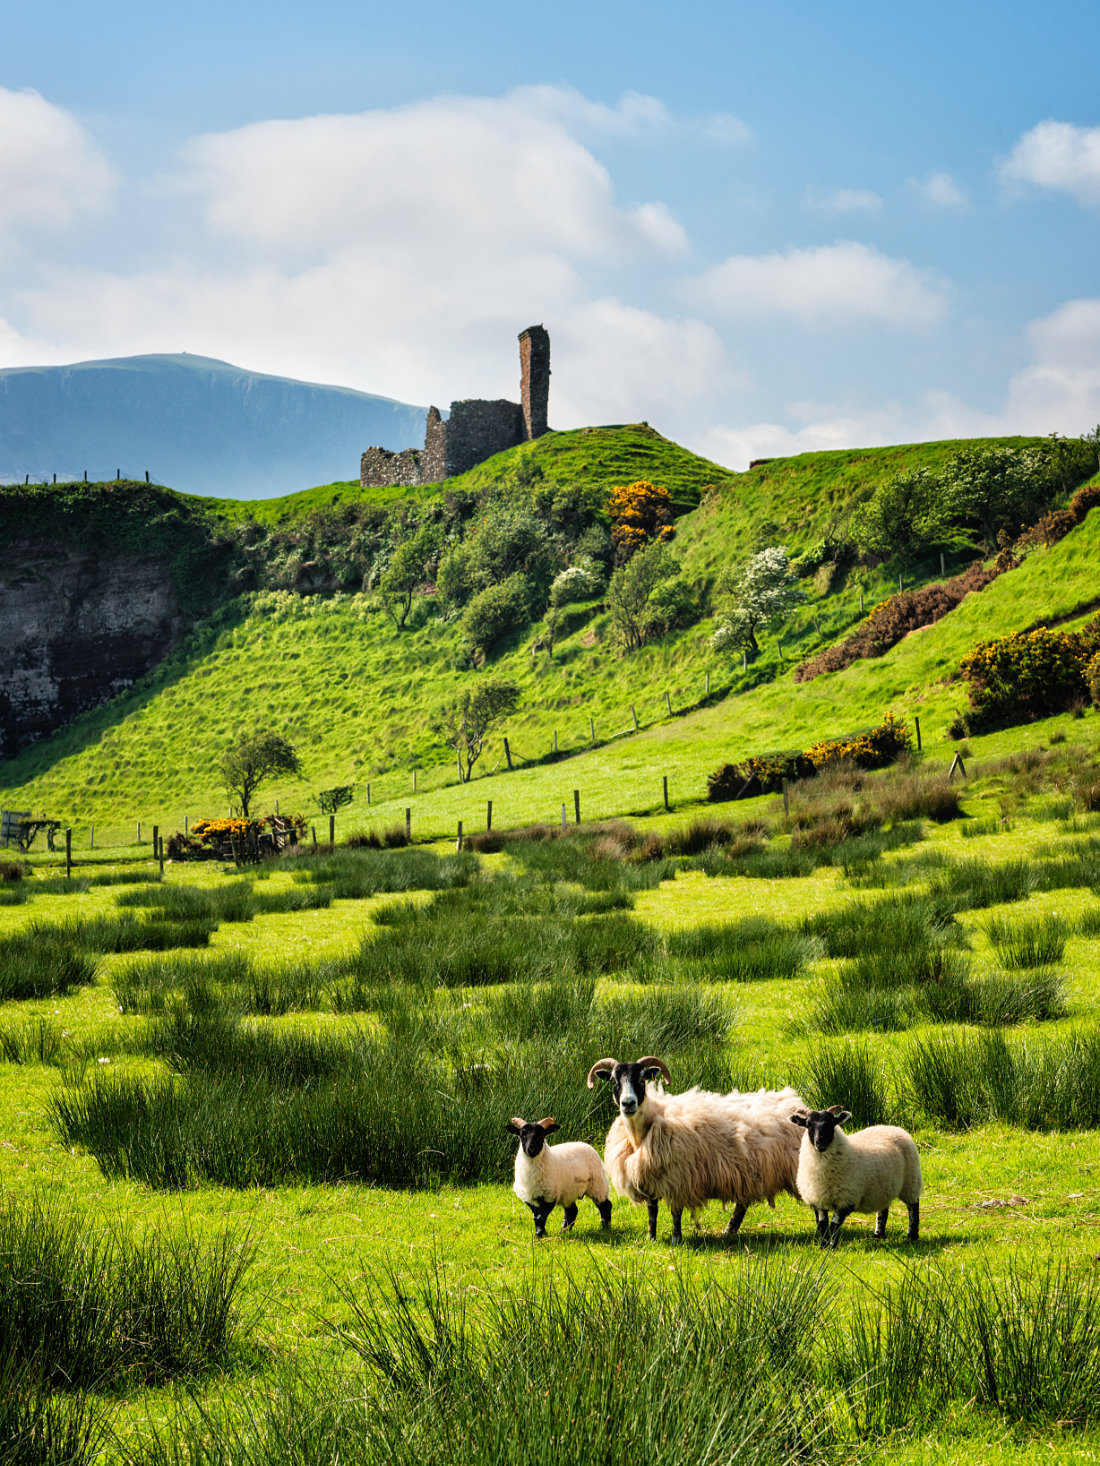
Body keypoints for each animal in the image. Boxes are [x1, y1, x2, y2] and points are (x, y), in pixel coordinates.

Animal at [507, 1114, 613, 1243]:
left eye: (542, 1135)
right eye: (522, 1134)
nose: (531, 1149)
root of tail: (585, 1144)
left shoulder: (550, 1195)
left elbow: (540, 1217)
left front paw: (539, 1236)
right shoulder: (529, 1198)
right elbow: (536, 1216)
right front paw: (542, 1234)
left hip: (597, 1185)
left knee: (605, 1205)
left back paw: (605, 1227)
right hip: (568, 1191)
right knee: (572, 1211)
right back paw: (564, 1231)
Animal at [586, 1055, 809, 1249]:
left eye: (642, 1079)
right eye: (613, 1081)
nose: (628, 1103)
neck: (646, 1127)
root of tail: (793, 1101)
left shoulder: (677, 1177)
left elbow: (676, 1212)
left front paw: (676, 1240)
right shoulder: (649, 1177)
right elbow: (652, 1211)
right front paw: (651, 1238)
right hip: (746, 1172)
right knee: (741, 1204)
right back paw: (728, 1232)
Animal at [786, 1102, 926, 1243]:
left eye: (831, 1123)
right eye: (808, 1125)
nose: (820, 1142)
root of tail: (892, 1127)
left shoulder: (846, 1199)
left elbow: (834, 1224)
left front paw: (832, 1245)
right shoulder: (818, 1199)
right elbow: (822, 1225)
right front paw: (824, 1245)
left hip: (911, 1181)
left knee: (913, 1206)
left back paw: (912, 1236)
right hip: (883, 1187)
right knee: (883, 1210)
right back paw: (878, 1234)